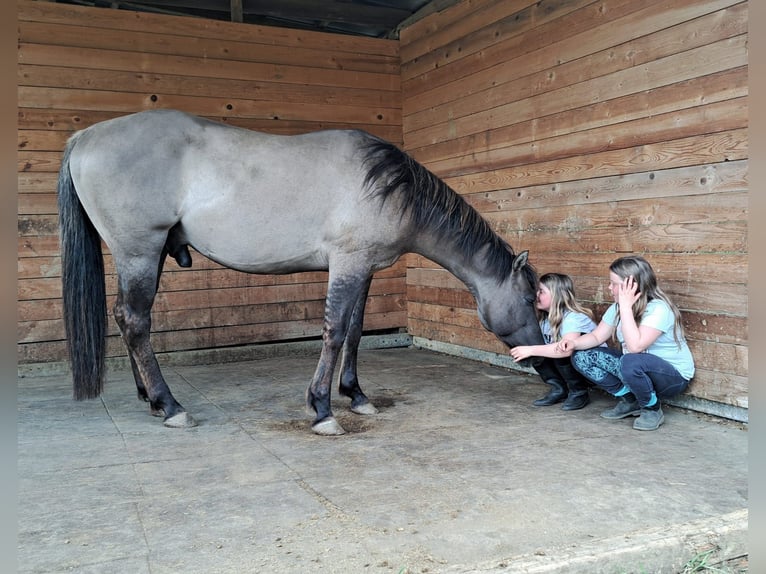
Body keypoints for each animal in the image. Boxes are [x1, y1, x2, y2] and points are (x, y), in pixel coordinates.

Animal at [58, 109, 544, 436]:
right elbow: (333, 331)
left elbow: (354, 331)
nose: (541, 358)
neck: (389, 186)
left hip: (150, 255)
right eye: (528, 299)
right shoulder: (347, 264)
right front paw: (323, 409)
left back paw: (151, 399)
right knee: (135, 320)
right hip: (139, 251)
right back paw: (171, 405)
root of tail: (84, 136)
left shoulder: (362, 269)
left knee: (128, 319)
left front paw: (357, 396)